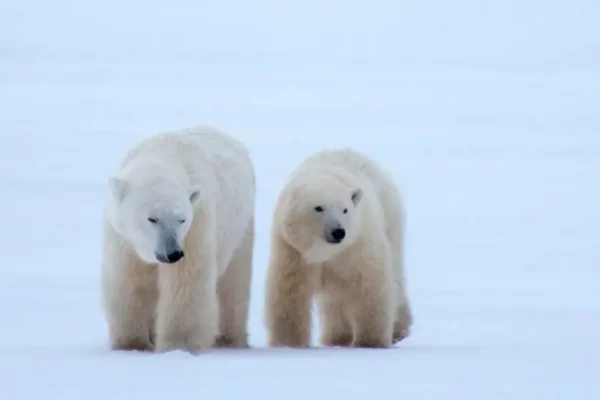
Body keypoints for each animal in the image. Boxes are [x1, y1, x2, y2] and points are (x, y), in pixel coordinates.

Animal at [101, 125, 255, 354]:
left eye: (182, 219)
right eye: (152, 218)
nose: (172, 253)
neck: (162, 155)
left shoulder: (197, 222)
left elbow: (186, 281)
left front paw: (178, 346)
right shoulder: (122, 236)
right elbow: (130, 280)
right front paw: (132, 344)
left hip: (240, 225)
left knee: (234, 281)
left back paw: (230, 340)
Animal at [264, 148, 410, 348]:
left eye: (345, 209)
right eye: (318, 208)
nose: (338, 232)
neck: (324, 252)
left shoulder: (357, 244)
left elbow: (369, 286)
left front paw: (370, 342)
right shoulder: (292, 251)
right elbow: (290, 293)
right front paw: (287, 343)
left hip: (389, 217)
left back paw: (398, 330)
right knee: (334, 300)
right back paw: (336, 337)